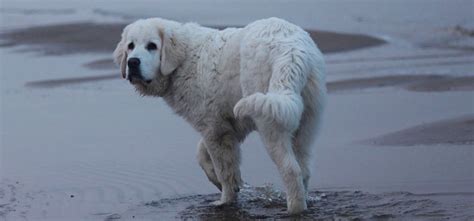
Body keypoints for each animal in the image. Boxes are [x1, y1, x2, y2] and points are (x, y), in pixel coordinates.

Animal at [115, 17, 326, 214]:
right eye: (130, 46)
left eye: (152, 46)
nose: (132, 62)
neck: (183, 61)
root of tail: (292, 50)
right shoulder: (227, 125)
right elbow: (202, 155)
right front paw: (222, 181)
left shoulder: (214, 129)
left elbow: (223, 168)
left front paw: (224, 200)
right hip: (303, 121)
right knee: (304, 168)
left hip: (269, 120)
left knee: (291, 170)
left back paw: (294, 209)